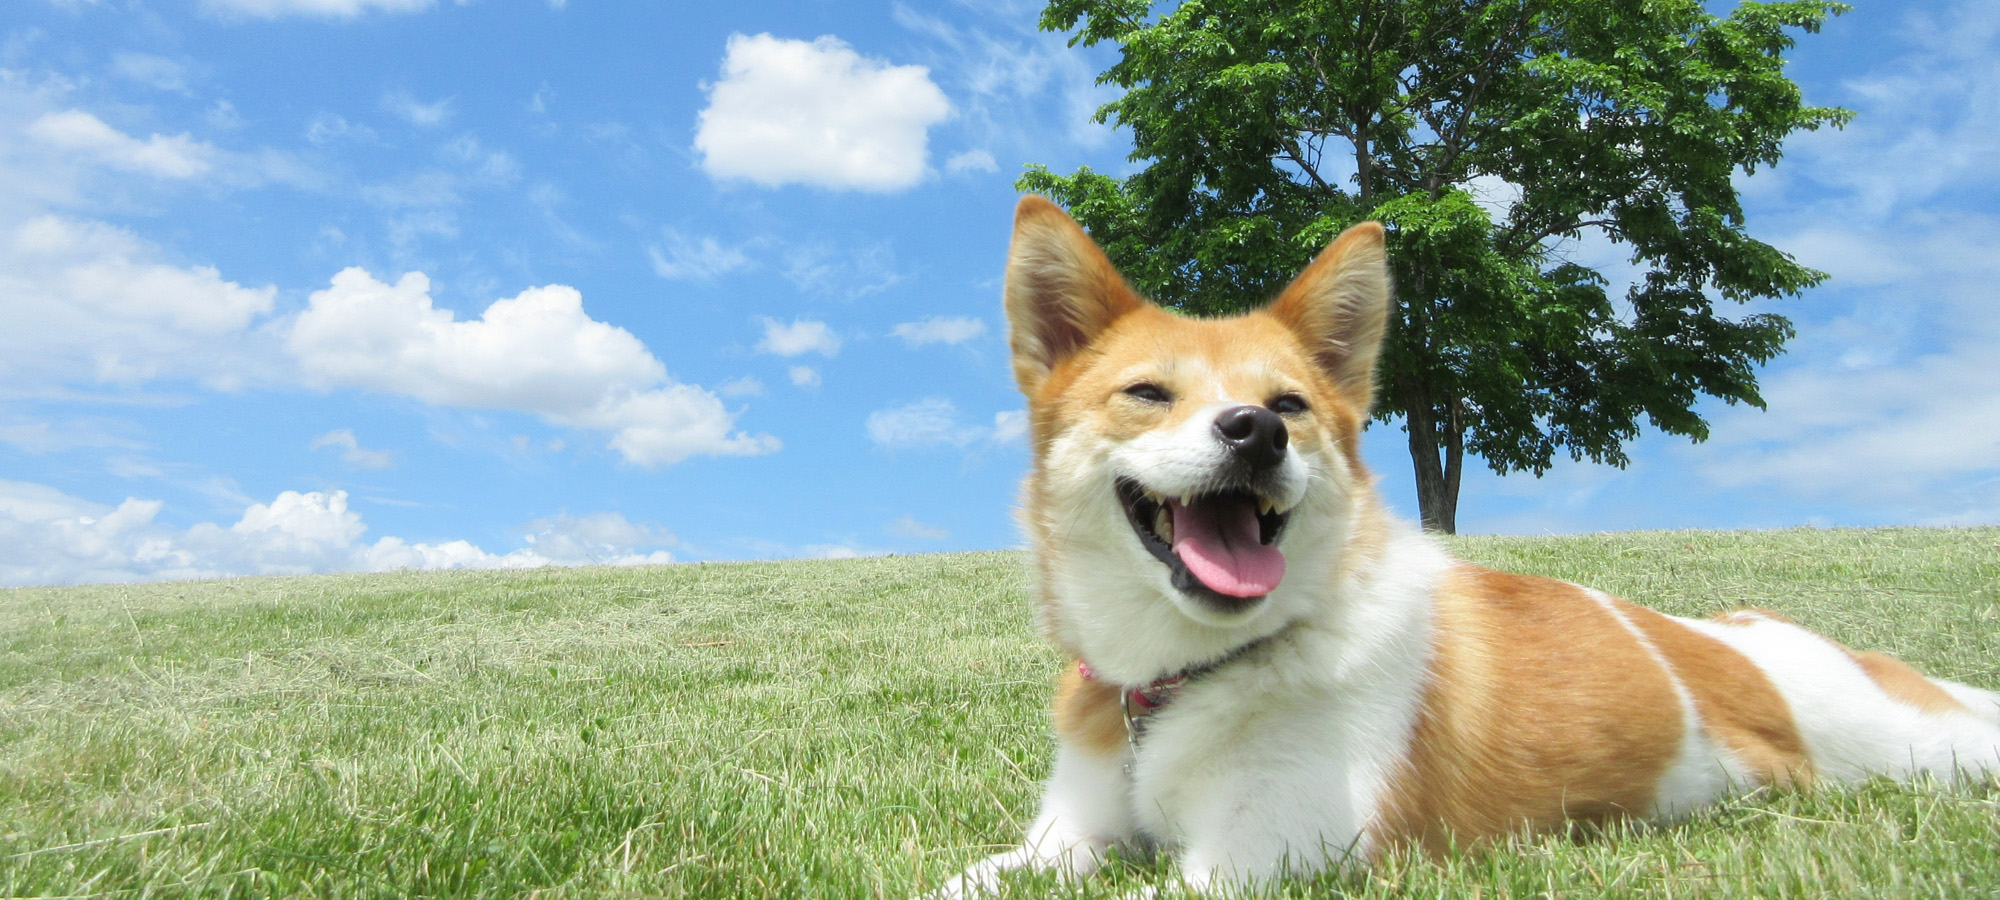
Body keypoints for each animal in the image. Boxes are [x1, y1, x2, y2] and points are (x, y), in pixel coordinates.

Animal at [936, 195, 2000, 892]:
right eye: (1148, 393)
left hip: (1918, 750)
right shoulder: (1060, 845)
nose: (1256, 431)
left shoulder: (1256, 860)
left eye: (1292, 405)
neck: (1188, 679)